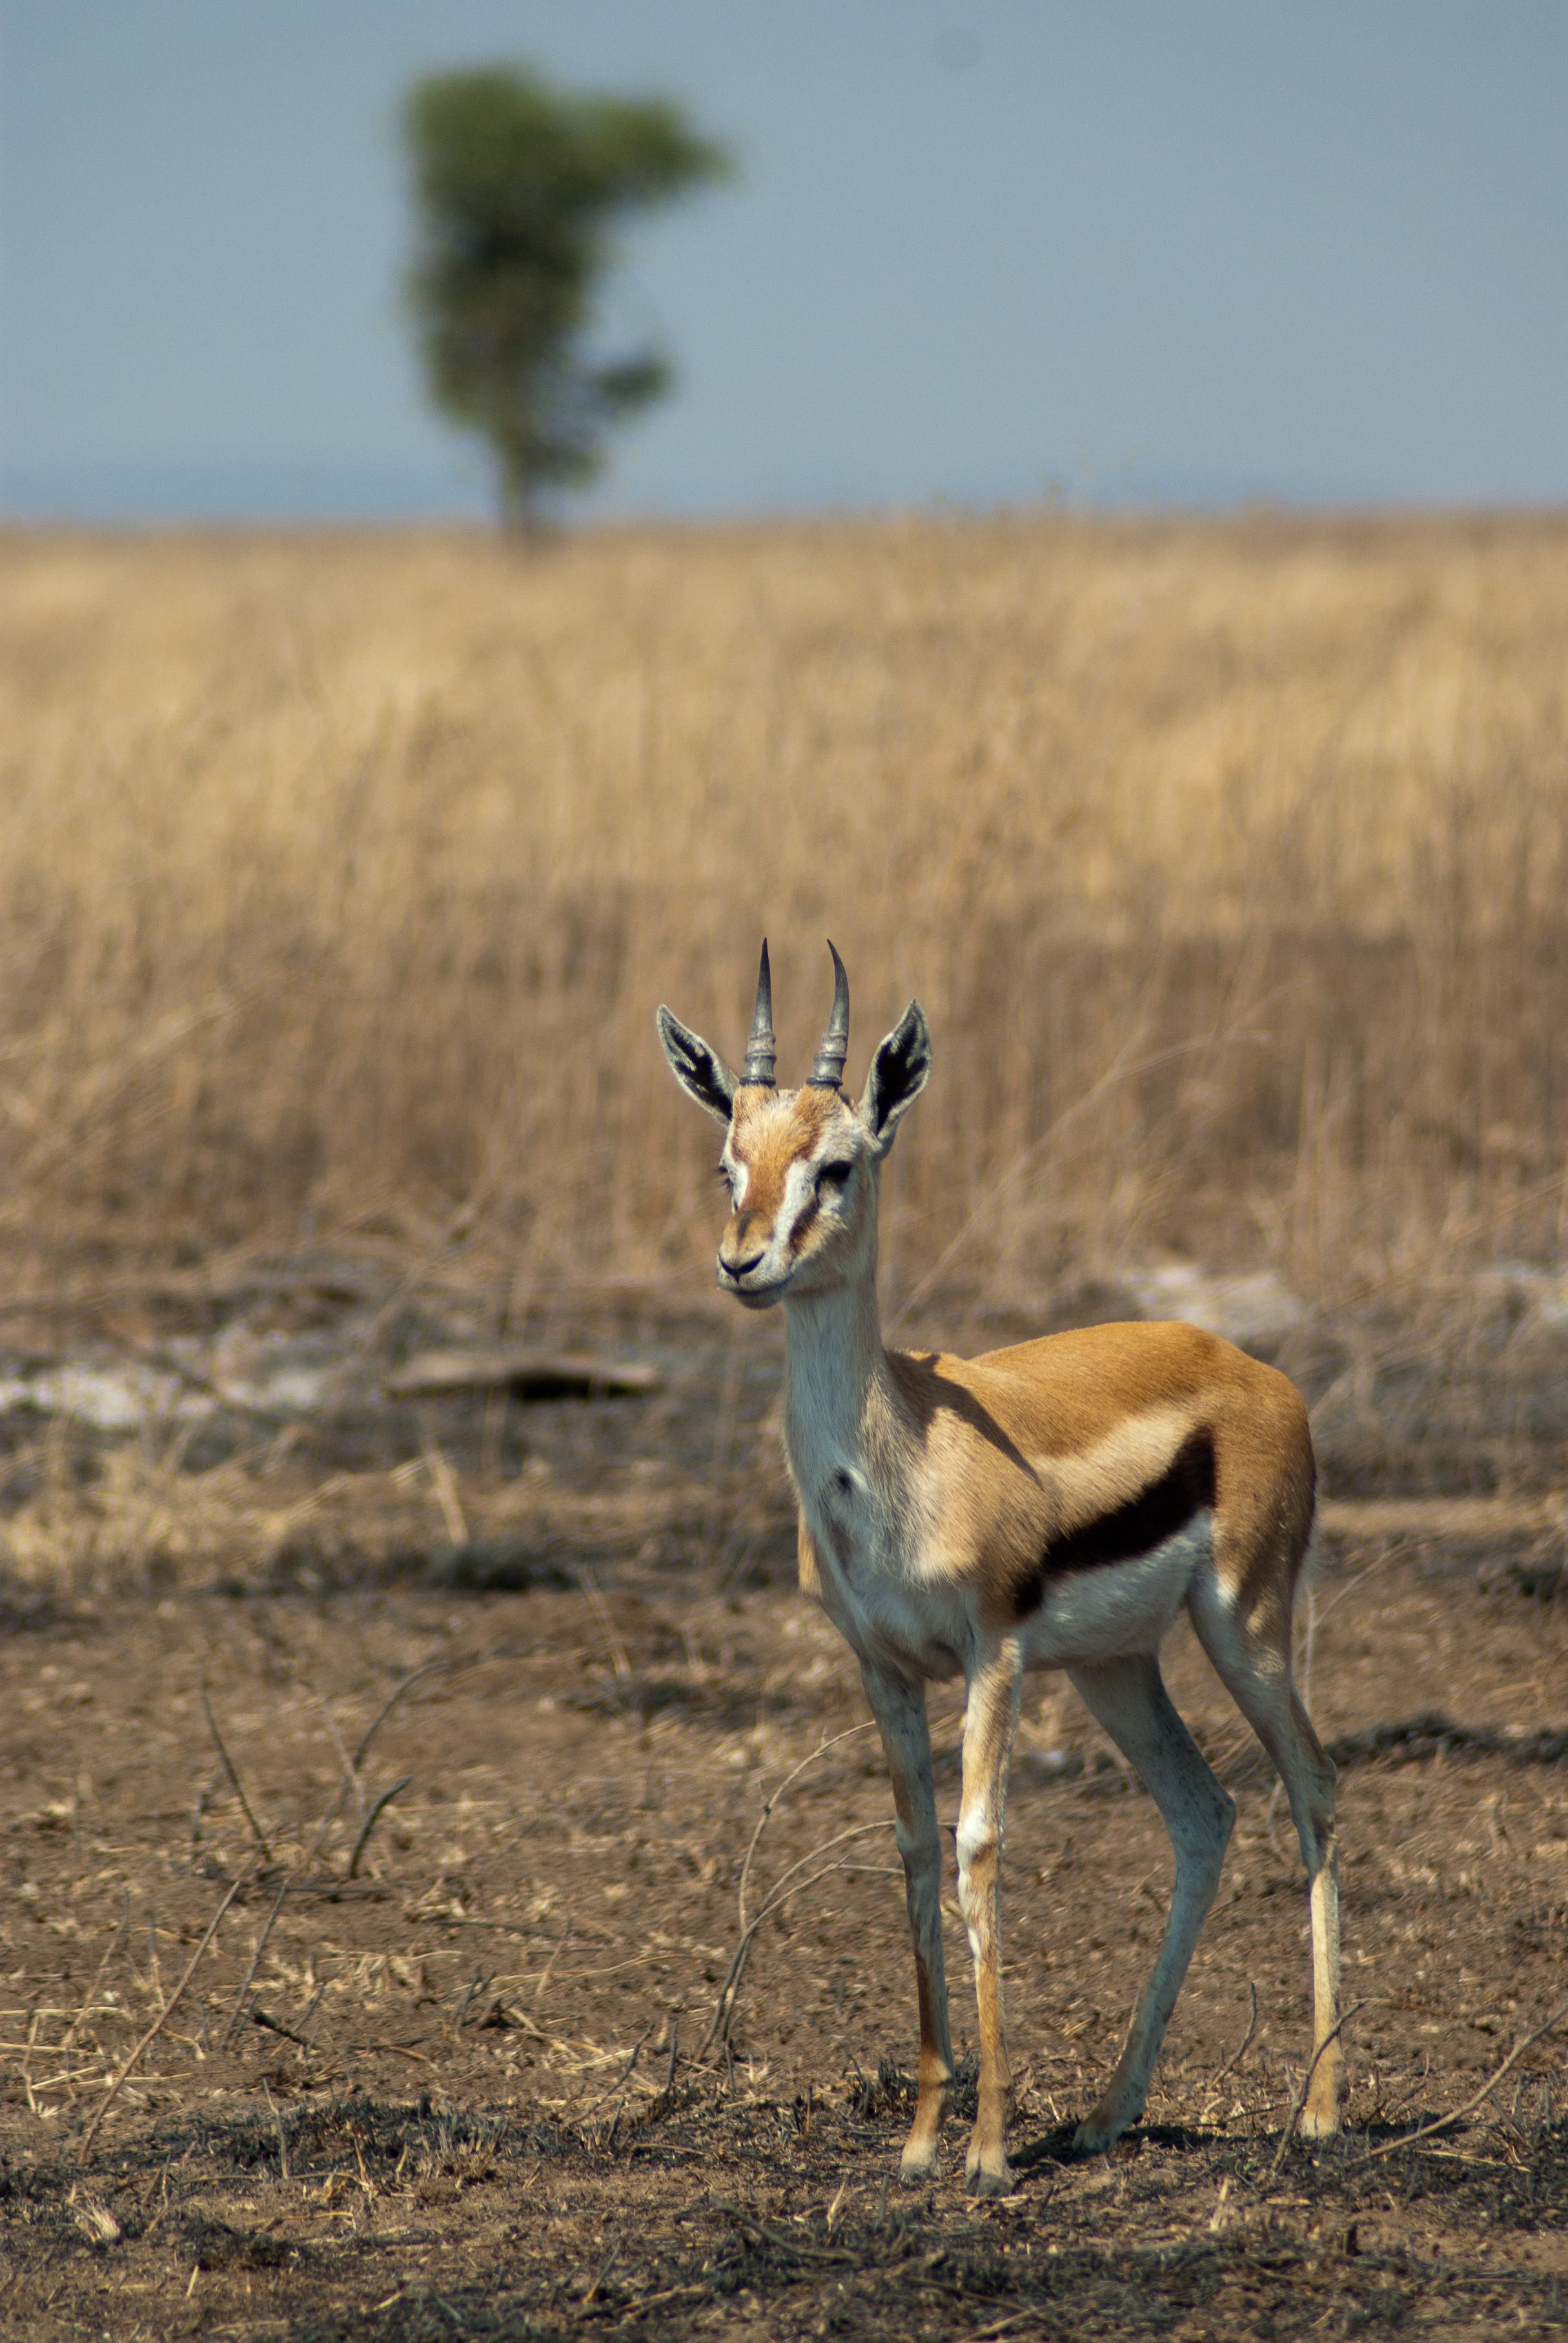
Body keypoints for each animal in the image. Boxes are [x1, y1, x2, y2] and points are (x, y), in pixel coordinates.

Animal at [657, 944, 1342, 2196]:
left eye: (836, 1164)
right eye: (728, 1162)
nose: (742, 1261)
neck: (896, 1452)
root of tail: (1260, 1372)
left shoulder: (994, 1651)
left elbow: (977, 1848)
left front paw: (983, 2149)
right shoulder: (883, 1669)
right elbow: (915, 1851)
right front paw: (925, 2138)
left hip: (1242, 1625)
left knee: (1312, 1787)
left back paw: (1317, 2108)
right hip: (1117, 1668)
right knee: (1204, 1812)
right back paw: (1106, 2114)